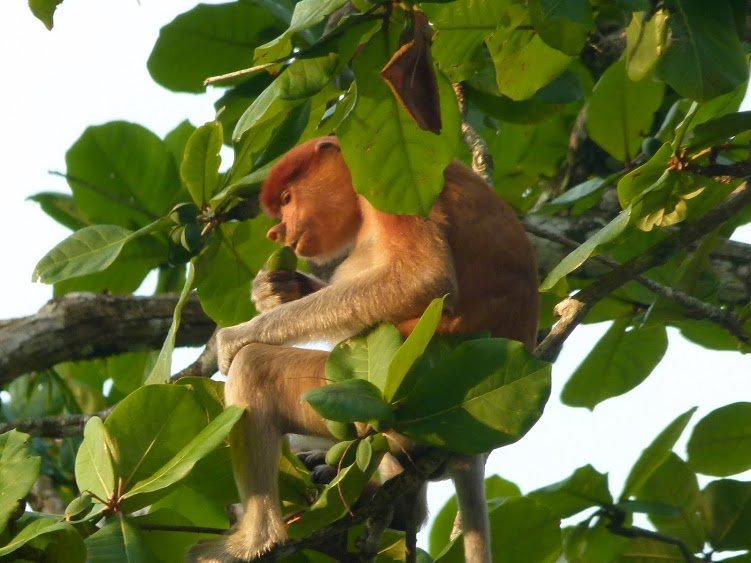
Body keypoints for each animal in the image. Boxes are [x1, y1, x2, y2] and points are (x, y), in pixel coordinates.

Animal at [191, 137, 536, 563]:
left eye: (287, 199)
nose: (276, 232)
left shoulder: (388, 193)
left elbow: (423, 281)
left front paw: (238, 336)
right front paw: (278, 287)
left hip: (377, 395)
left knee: (255, 369)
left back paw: (256, 541)